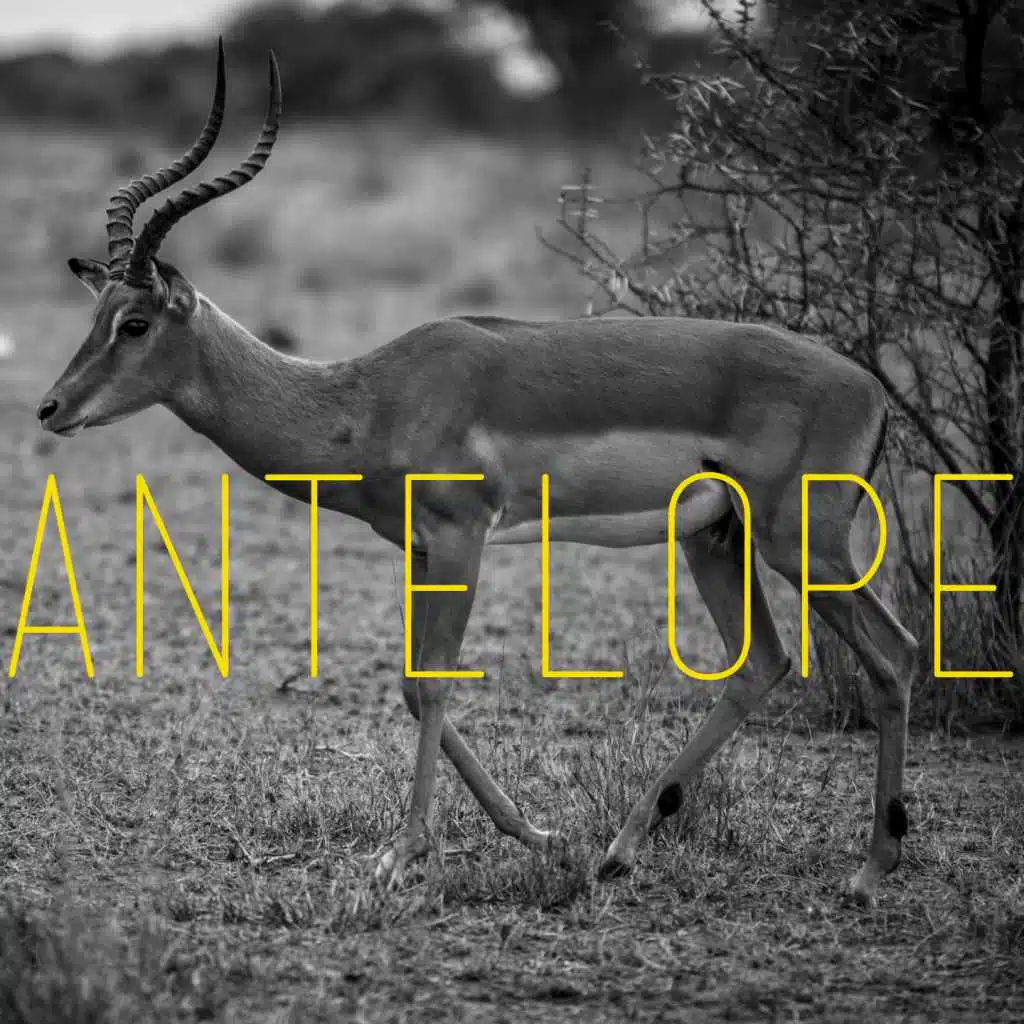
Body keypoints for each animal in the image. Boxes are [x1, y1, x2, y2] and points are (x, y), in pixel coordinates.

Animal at [37, 41, 918, 906]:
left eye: (135, 322)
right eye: (96, 314)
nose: (50, 408)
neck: (365, 397)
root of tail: (870, 387)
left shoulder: (462, 537)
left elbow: (433, 682)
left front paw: (400, 856)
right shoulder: (419, 549)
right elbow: (407, 682)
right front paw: (535, 833)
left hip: (799, 541)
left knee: (894, 653)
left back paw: (871, 868)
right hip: (716, 538)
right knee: (762, 662)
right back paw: (617, 853)